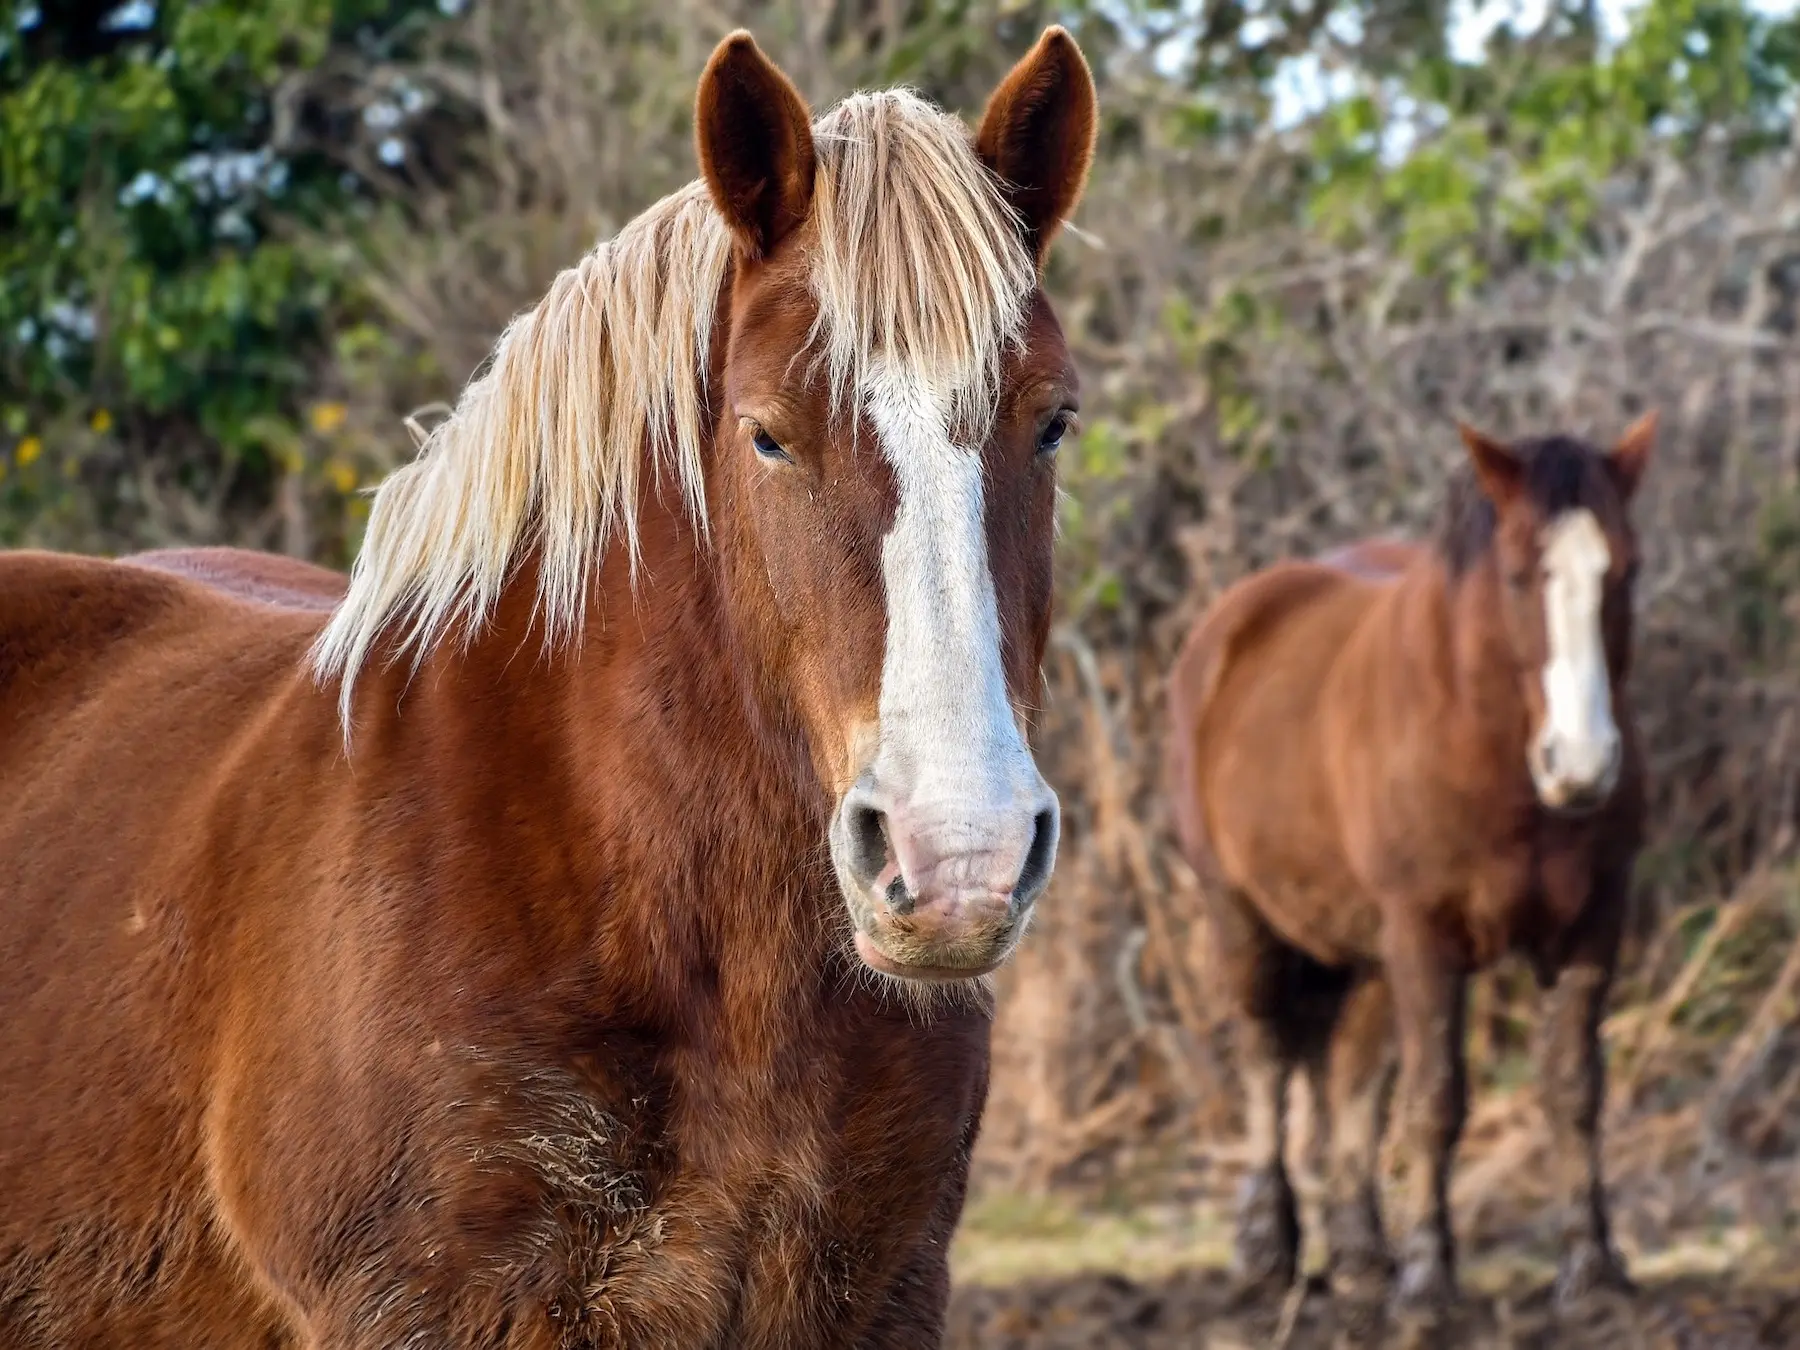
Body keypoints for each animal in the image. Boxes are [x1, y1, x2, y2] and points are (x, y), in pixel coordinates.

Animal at [1166, 415, 1656, 1324]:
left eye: (1625, 567)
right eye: (1518, 574)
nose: (1581, 764)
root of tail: (1231, 622)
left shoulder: (1593, 928)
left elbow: (1574, 1090)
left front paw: (1594, 1270)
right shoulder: (1426, 939)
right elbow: (1435, 1101)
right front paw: (1430, 1282)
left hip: (1362, 950)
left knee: (1349, 1078)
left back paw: (1361, 1254)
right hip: (1243, 920)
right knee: (1266, 1055)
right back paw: (1267, 1248)